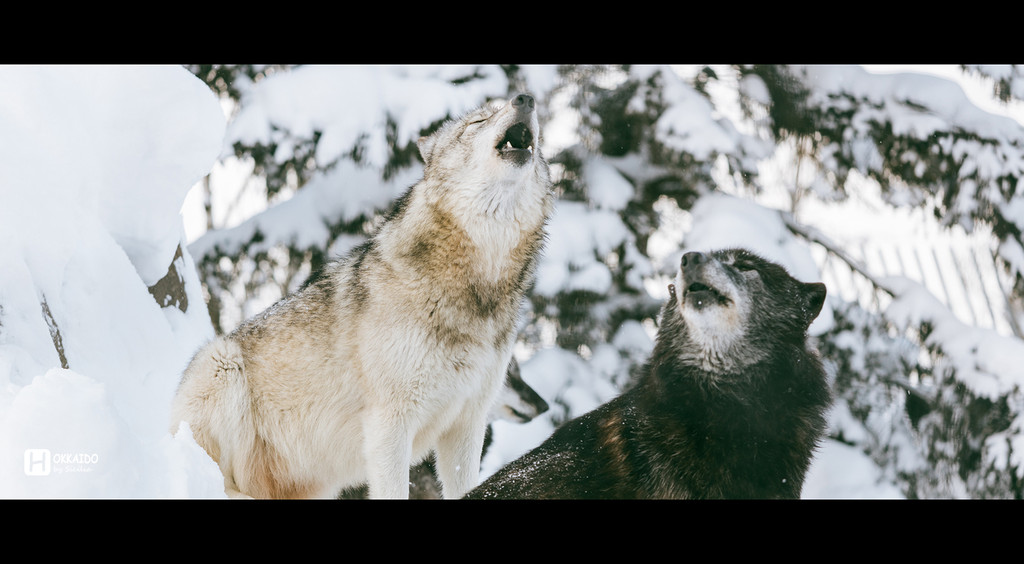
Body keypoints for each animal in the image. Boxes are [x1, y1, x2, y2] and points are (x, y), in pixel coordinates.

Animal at [169, 92, 552, 499]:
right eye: (477, 122)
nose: (525, 98)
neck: (477, 289)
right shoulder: (389, 423)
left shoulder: (466, 424)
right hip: (222, 364)